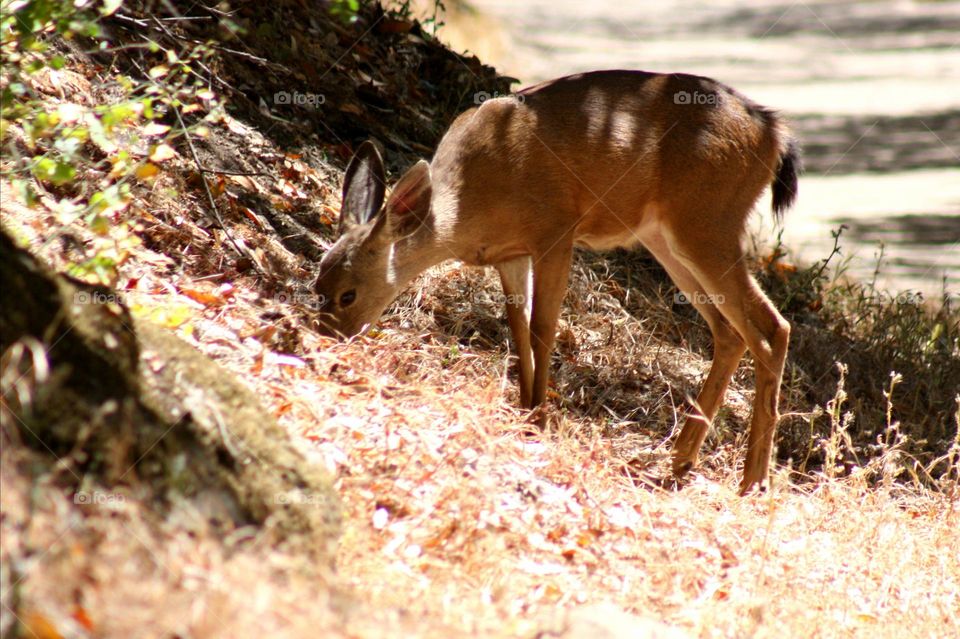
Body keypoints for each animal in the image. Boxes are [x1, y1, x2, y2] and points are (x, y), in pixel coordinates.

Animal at [316, 70, 804, 496]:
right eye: (317, 286)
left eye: (347, 294)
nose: (326, 341)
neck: (469, 202)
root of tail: (775, 132)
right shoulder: (510, 254)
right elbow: (517, 326)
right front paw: (523, 406)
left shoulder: (556, 229)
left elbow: (543, 327)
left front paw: (539, 416)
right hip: (666, 237)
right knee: (729, 332)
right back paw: (680, 459)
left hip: (707, 221)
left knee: (773, 327)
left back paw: (752, 480)